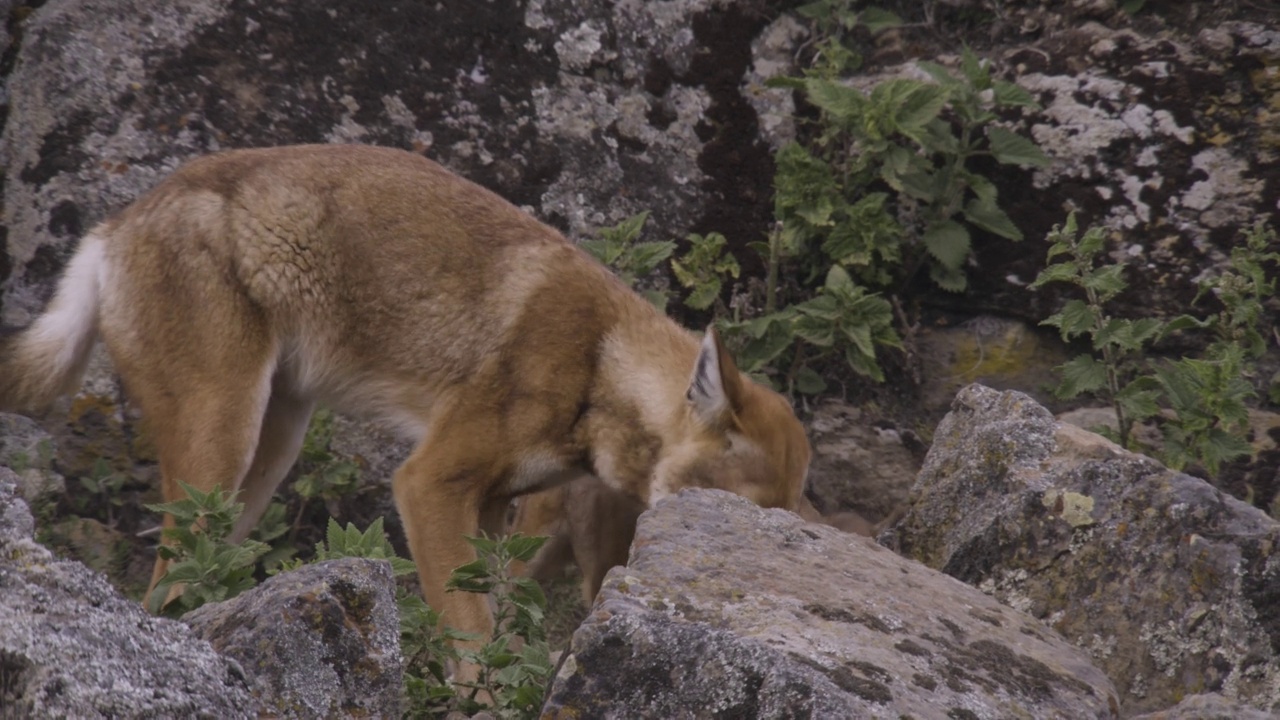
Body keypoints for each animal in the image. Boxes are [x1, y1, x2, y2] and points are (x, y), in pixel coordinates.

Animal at [2, 144, 808, 661]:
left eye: (781, 527)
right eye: (734, 516)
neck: (598, 362)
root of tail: (114, 224)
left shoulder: (491, 505)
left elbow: (497, 628)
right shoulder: (427, 484)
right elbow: (475, 645)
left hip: (263, 461)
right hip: (221, 448)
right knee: (160, 592)